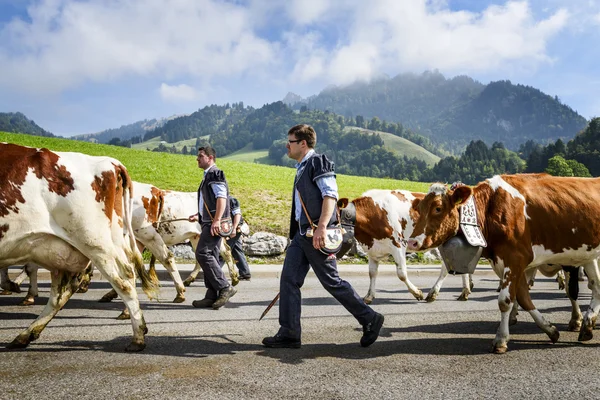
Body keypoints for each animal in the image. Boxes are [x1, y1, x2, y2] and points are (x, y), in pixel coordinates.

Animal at [0, 143, 159, 350]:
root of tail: (111, 163)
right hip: (70, 249)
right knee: (61, 292)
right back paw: (26, 334)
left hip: (94, 243)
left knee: (124, 279)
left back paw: (138, 337)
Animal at [408, 175, 600, 354]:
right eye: (420, 208)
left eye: (438, 208)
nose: (412, 242)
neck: (491, 209)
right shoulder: (507, 262)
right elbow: (523, 297)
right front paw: (550, 330)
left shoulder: (515, 259)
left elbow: (505, 300)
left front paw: (500, 340)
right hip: (588, 255)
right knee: (596, 286)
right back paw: (587, 325)